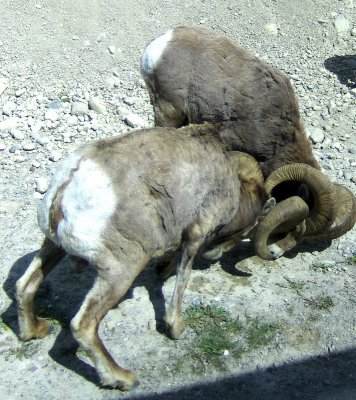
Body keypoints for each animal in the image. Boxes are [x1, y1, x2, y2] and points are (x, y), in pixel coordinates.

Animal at [16, 123, 326, 390]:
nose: (214, 255)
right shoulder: (196, 234)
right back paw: (123, 378)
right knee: (82, 325)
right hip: (118, 273)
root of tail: (64, 194)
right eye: (247, 230)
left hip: (52, 248)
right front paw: (175, 328)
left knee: (25, 285)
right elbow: (183, 277)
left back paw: (35, 331)